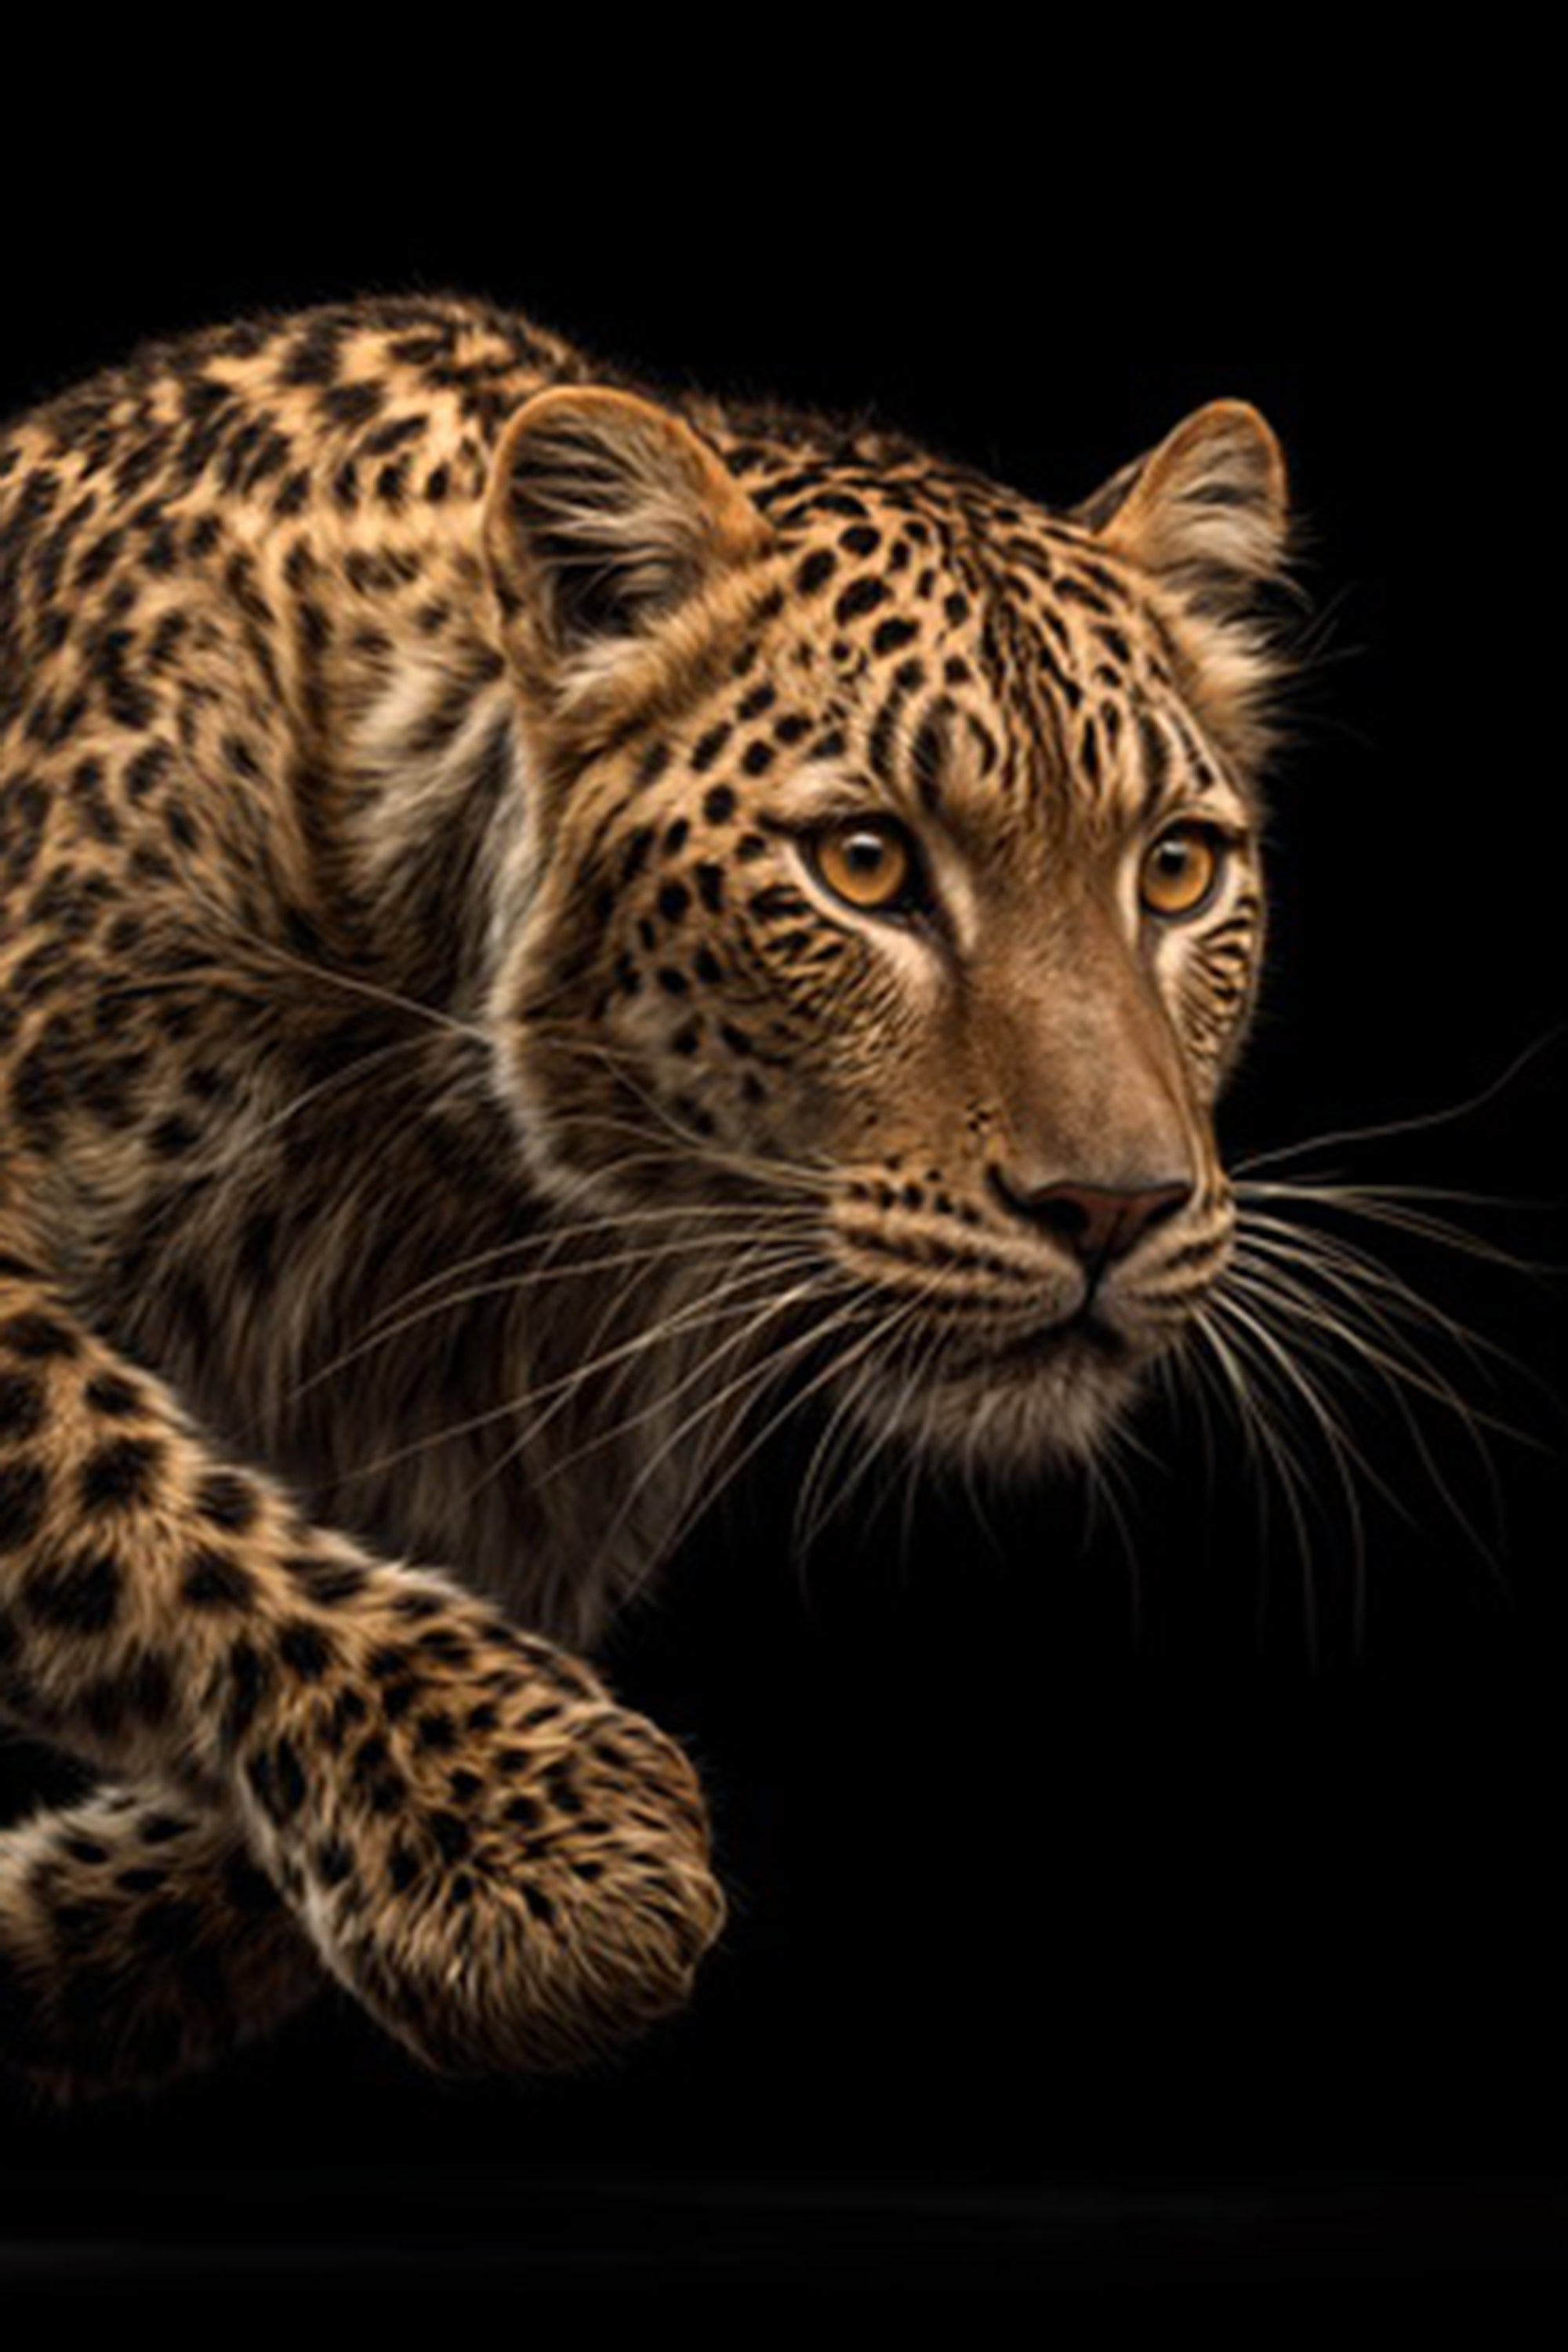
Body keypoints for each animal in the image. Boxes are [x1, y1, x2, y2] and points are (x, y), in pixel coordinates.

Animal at [0, 292, 1288, 2099]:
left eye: (1175, 869)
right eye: (865, 865)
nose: (1113, 1208)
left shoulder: (528, 1479)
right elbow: (133, 1504)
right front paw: (545, 1856)